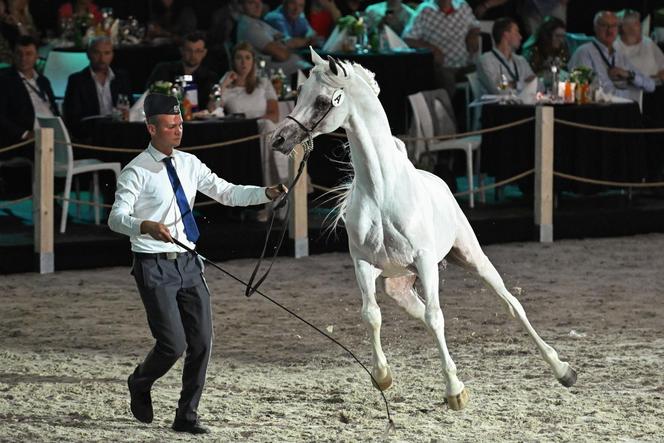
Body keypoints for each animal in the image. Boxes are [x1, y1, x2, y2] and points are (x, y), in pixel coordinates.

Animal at [270, 48, 576, 410]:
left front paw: (455, 390)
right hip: (397, 282)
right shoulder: (362, 263)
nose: (279, 139)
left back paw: (562, 369)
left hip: (470, 257)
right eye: (299, 93)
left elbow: (436, 318)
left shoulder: (426, 261)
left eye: (321, 100)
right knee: (418, 310)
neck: (382, 191)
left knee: (510, 305)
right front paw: (383, 376)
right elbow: (372, 315)